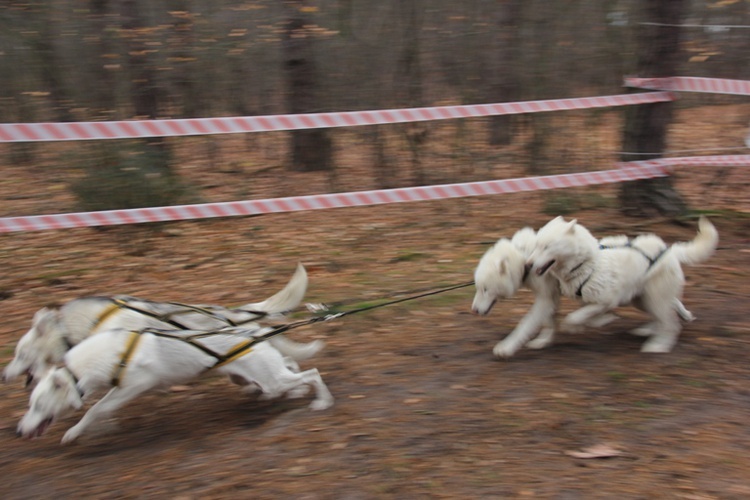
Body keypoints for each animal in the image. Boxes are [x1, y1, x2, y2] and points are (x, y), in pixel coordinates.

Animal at [16, 324, 334, 446]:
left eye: (39, 405)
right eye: (30, 403)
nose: (19, 431)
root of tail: (256, 331)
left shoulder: (133, 386)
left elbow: (96, 410)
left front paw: (74, 432)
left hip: (272, 379)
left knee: (313, 372)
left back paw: (321, 401)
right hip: (266, 375)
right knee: (292, 368)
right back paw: (292, 393)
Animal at [476, 227, 700, 360]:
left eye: (485, 289)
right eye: (478, 288)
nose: (475, 310)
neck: (525, 258)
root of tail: (669, 250)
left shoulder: (546, 299)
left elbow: (525, 325)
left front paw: (506, 347)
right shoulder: (549, 299)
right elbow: (551, 322)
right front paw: (544, 341)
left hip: (647, 297)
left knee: (666, 315)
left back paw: (658, 340)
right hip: (641, 299)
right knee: (667, 309)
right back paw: (661, 325)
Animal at [524, 217, 720, 354]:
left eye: (546, 246)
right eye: (536, 245)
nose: (528, 264)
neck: (587, 263)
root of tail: (669, 251)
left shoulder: (605, 301)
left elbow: (574, 317)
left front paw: (575, 326)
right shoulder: (591, 301)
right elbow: (586, 315)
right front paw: (596, 321)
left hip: (654, 298)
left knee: (670, 323)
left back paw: (658, 346)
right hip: (642, 300)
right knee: (665, 313)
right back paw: (655, 327)